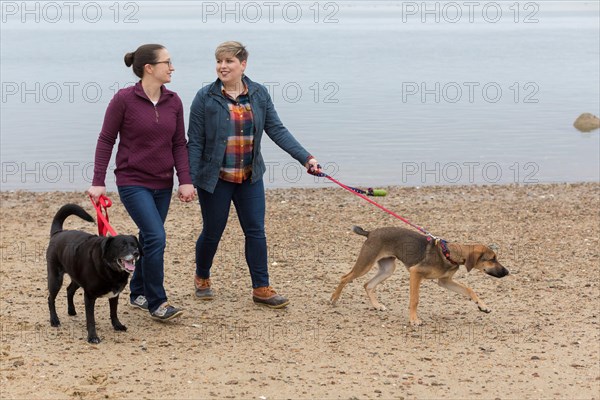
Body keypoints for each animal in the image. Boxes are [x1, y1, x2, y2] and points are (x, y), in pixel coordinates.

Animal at [46, 205, 141, 342]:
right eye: (122, 246)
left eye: (135, 246)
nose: (136, 253)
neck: (110, 269)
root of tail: (58, 233)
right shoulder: (89, 296)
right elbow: (91, 319)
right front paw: (92, 337)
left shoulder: (114, 294)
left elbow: (114, 312)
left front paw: (117, 325)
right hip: (55, 279)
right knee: (51, 299)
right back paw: (54, 320)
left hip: (76, 276)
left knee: (69, 290)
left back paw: (71, 310)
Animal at [330, 225, 508, 324]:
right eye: (492, 259)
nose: (507, 272)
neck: (450, 253)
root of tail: (370, 232)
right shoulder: (416, 274)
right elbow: (415, 300)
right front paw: (414, 320)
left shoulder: (445, 281)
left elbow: (469, 290)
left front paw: (483, 306)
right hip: (366, 264)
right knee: (345, 277)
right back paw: (334, 299)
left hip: (388, 268)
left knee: (368, 285)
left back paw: (376, 305)